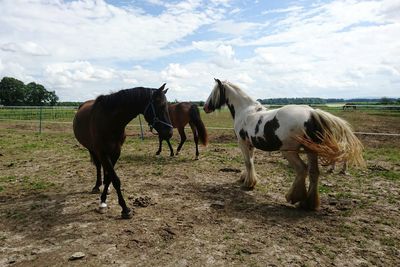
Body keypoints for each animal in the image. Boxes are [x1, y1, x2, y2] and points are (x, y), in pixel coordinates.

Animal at [73, 84, 172, 220]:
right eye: (161, 106)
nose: (170, 132)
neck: (109, 121)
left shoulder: (116, 152)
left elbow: (110, 177)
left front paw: (104, 199)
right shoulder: (102, 152)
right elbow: (115, 179)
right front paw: (124, 209)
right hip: (92, 150)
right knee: (98, 166)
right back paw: (97, 186)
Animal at [205, 79, 364, 211]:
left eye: (213, 92)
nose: (205, 107)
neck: (246, 112)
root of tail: (311, 113)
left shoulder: (243, 143)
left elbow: (248, 162)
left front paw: (248, 183)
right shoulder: (251, 145)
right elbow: (250, 162)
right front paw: (247, 179)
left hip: (289, 152)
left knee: (302, 169)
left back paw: (293, 197)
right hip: (310, 151)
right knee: (314, 173)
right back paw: (308, 204)